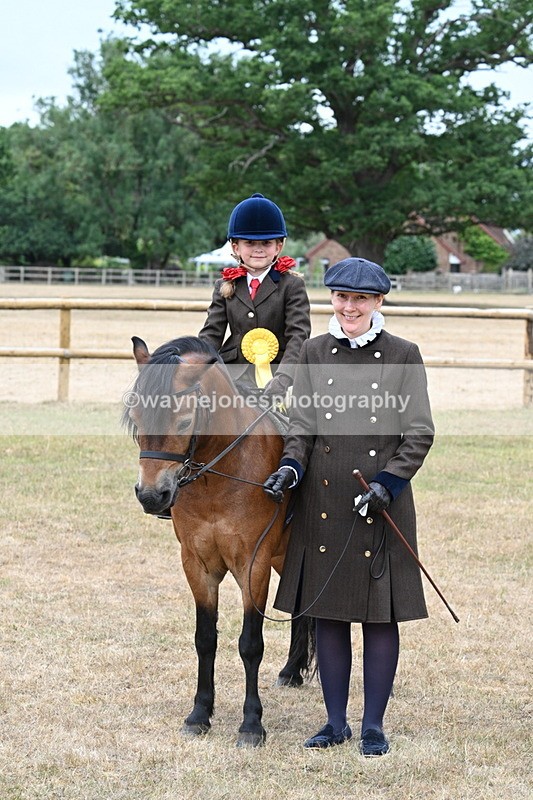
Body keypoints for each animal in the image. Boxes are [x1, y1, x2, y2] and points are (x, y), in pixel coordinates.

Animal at [122, 335, 314, 747]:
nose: (152, 496)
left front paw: (251, 724)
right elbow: (205, 638)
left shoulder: (252, 565)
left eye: (183, 420)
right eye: (137, 418)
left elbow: (250, 644)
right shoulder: (197, 565)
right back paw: (292, 671)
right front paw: (199, 715)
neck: (220, 475)